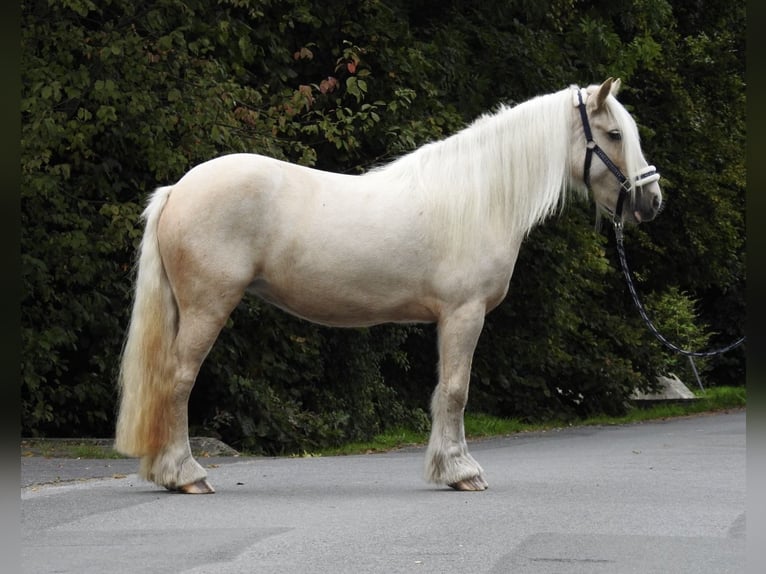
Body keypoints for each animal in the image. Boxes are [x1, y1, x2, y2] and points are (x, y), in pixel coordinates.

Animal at [117, 79, 664, 496]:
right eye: (614, 133)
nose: (652, 201)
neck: (478, 196)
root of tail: (178, 190)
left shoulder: (447, 319)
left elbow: (444, 390)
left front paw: (448, 468)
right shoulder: (464, 313)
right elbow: (456, 391)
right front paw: (462, 473)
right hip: (207, 307)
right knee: (178, 381)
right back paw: (186, 475)